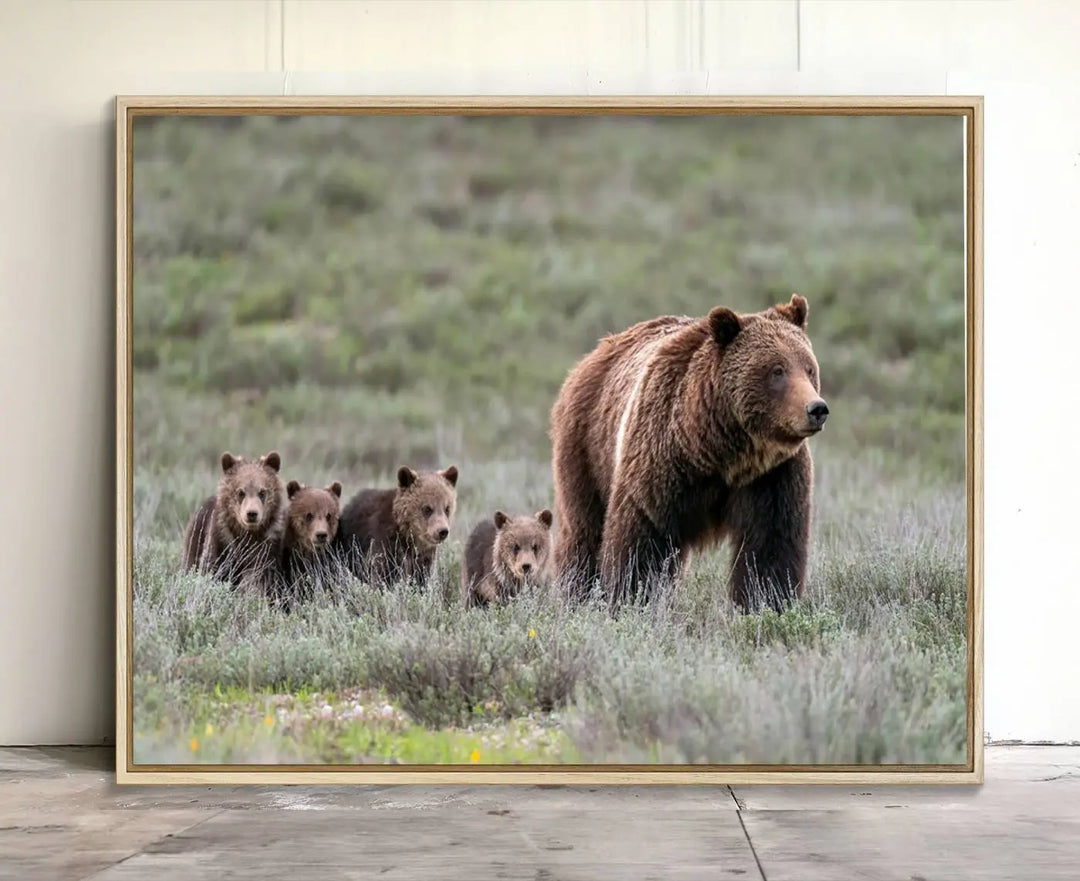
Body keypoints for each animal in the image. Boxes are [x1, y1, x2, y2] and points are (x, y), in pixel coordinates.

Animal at [552, 295, 829, 613]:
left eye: (809, 368)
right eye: (777, 370)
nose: (816, 408)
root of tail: (595, 354)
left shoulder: (772, 475)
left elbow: (771, 545)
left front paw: (766, 603)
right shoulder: (660, 460)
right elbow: (641, 540)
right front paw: (630, 600)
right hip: (588, 446)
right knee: (583, 530)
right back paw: (576, 594)